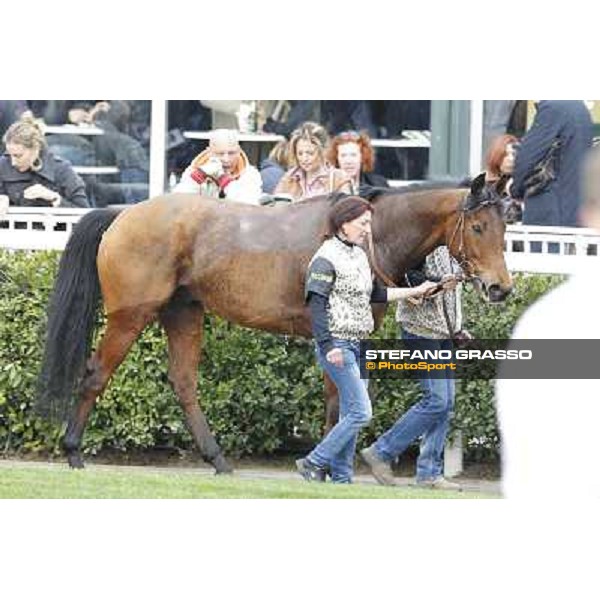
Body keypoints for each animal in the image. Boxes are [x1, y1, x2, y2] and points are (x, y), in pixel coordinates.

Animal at [36, 172, 510, 474]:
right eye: (478, 226)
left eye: (506, 228)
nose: (500, 288)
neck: (361, 239)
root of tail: (123, 213)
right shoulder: (330, 332)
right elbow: (339, 398)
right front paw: (325, 466)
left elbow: (351, 396)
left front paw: (336, 463)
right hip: (130, 315)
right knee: (97, 374)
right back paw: (74, 452)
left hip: (183, 311)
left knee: (184, 382)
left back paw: (218, 460)